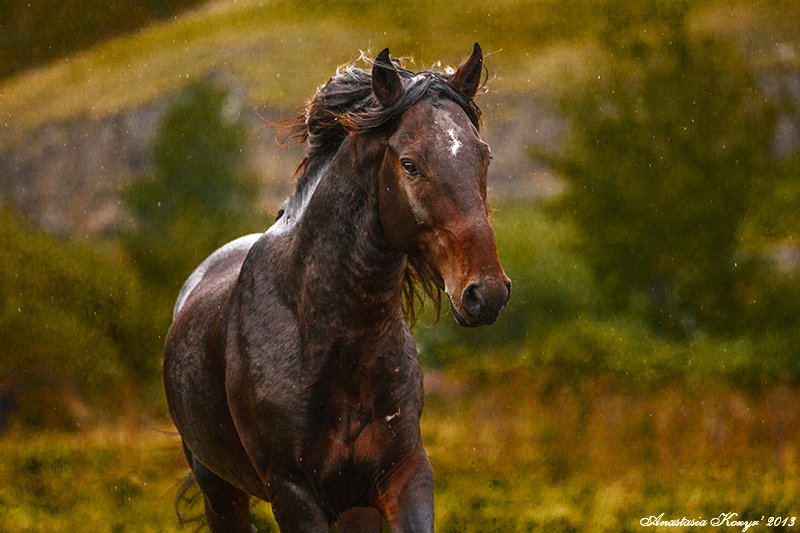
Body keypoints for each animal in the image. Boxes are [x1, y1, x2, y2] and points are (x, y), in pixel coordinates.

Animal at [163, 42, 512, 532]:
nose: (486, 292)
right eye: (410, 164)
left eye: (484, 157)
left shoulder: (401, 472)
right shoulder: (292, 490)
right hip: (219, 488)